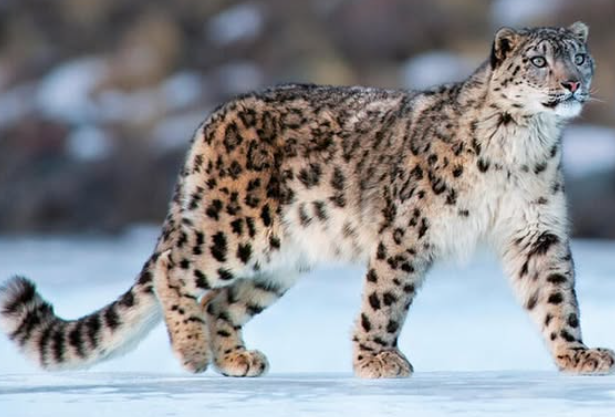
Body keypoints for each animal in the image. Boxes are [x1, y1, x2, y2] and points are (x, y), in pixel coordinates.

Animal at [1, 22, 615, 376]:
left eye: (579, 56)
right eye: (538, 61)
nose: (571, 83)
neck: (523, 143)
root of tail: (212, 119)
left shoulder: (536, 230)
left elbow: (555, 296)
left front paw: (577, 353)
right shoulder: (407, 229)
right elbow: (385, 298)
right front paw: (376, 359)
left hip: (280, 260)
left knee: (222, 301)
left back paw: (236, 358)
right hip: (234, 230)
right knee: (174, 267)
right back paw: (193, 352)